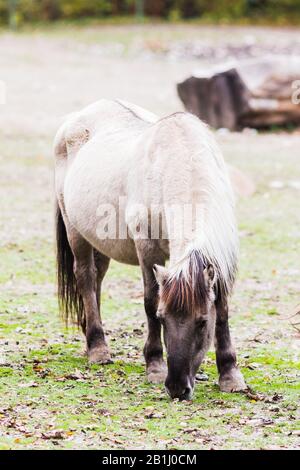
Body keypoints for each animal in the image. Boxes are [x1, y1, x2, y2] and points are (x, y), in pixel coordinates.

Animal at [54, 99, 246, 400]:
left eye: (202, 322)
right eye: (162, 318)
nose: (177, 388)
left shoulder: (221, 260)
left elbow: (223, 310)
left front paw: (230, 375)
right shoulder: (147, 250)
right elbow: (149, 299)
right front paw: (155, 366)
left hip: (100, 243)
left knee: (96, 281)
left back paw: (90, 338)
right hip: (76, 232)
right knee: (85, 277)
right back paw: (98, 348)